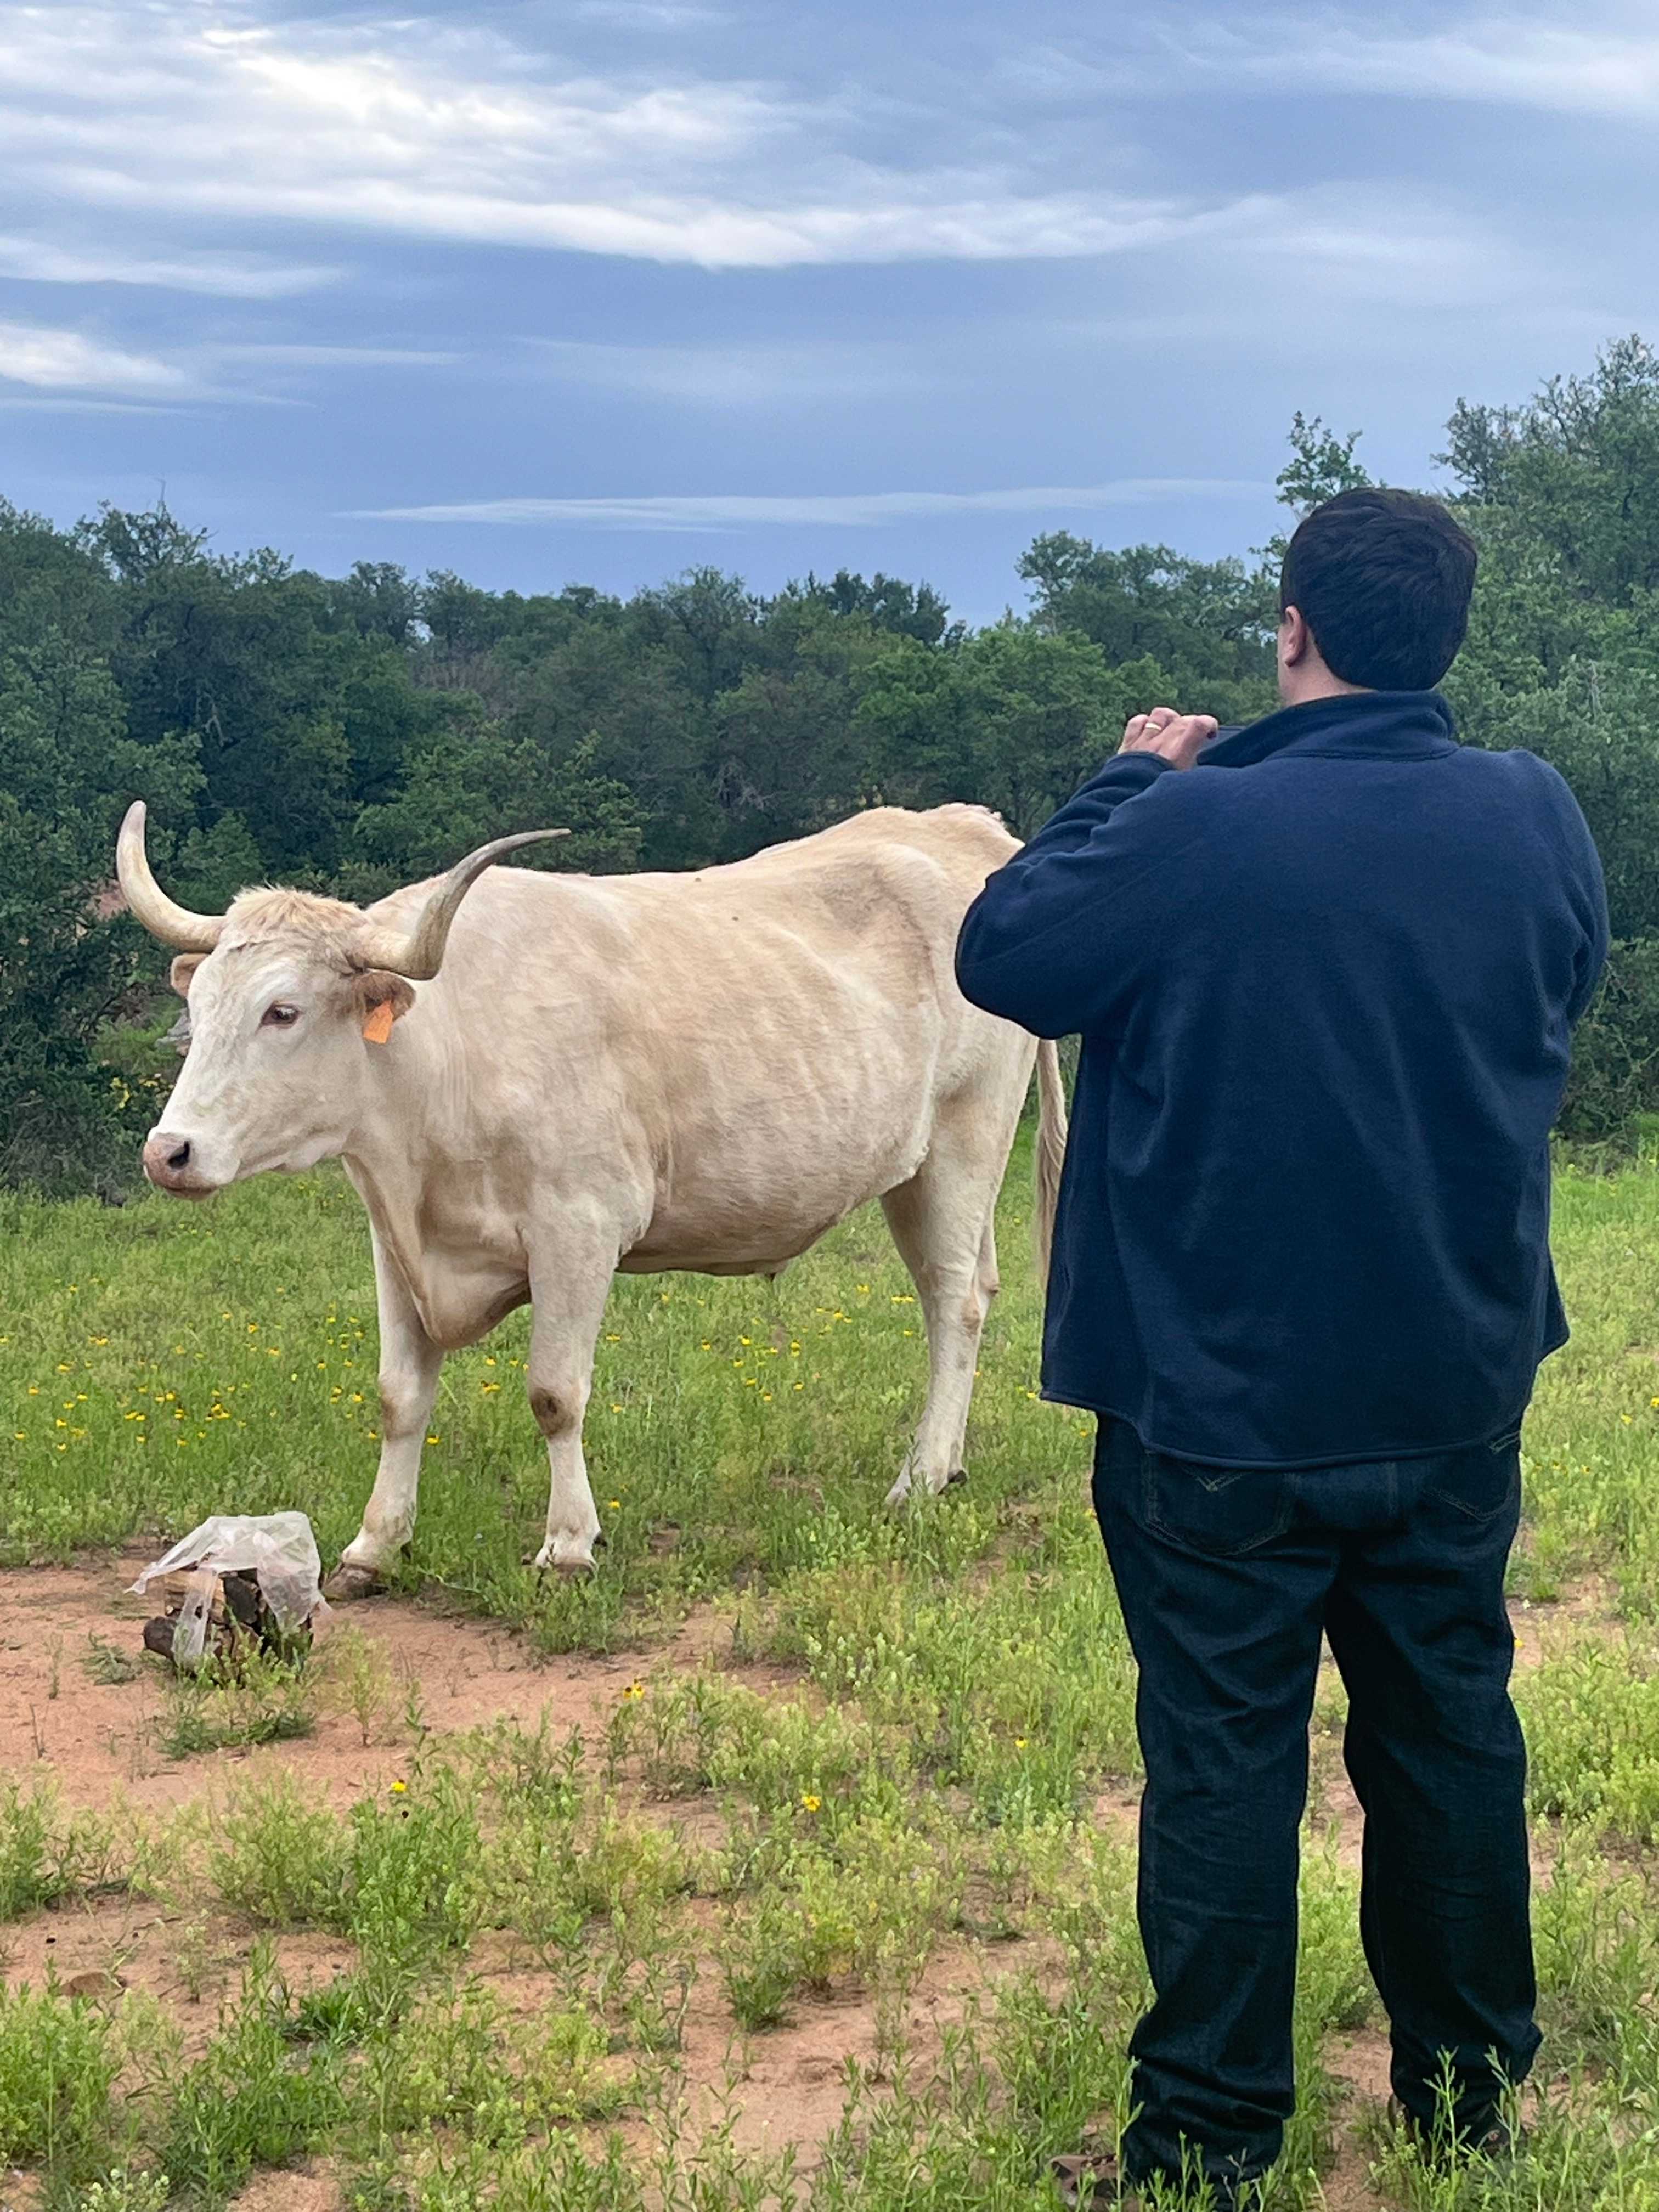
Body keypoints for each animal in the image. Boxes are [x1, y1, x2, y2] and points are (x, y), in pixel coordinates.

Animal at [116, 801, 1066, 1595]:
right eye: (201, 1004)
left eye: (282, 1011)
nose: (169, 1153)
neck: (441, 1066)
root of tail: (967, 828)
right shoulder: (395, 1241)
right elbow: (398, 1396)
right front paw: (373, 1546)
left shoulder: (578, 1229)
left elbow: (554, 1393)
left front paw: (569, 1544)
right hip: (919, 1168)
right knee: (968, 1291)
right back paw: (948, 1467)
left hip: (965, 1140)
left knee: (953, 1303)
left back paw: (919, 1479)